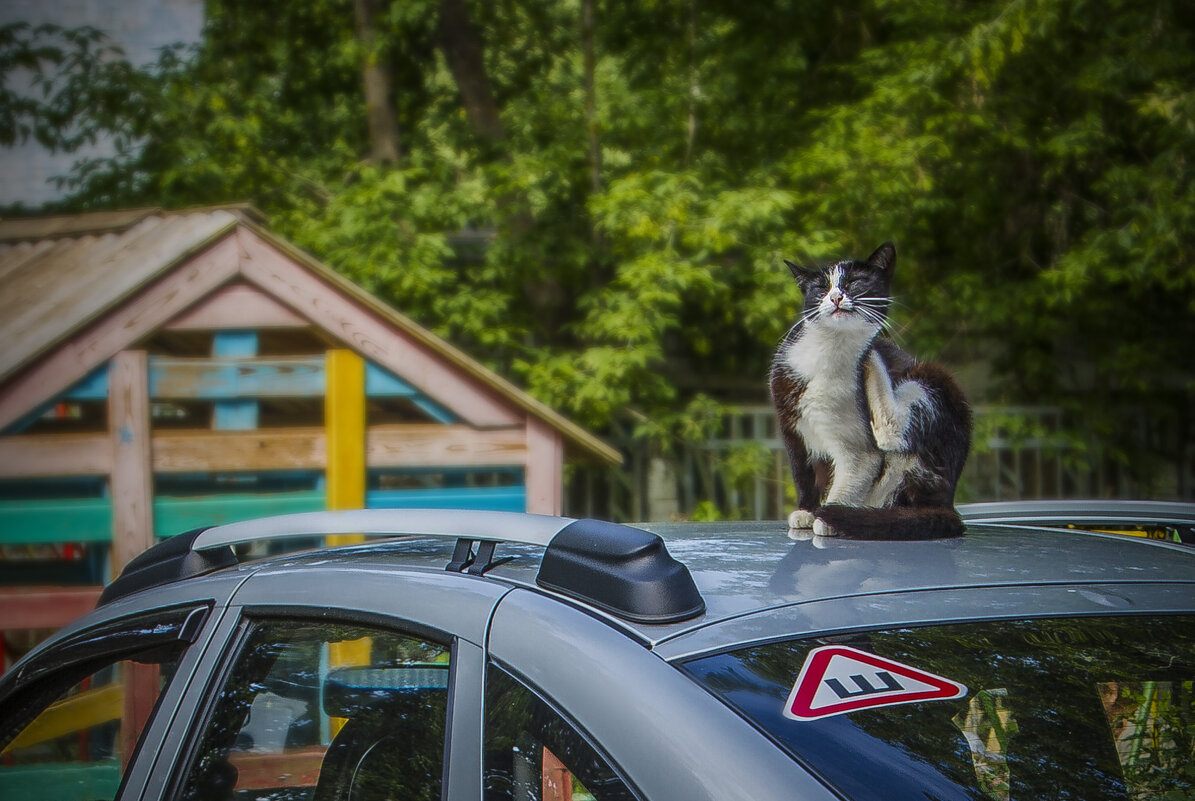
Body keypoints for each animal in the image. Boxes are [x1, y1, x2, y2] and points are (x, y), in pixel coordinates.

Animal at [769, 240, 975, 540]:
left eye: (854, 282)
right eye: (821, 287)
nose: (836, 297)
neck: (830, 349)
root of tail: (946, 503)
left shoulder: (858, 445)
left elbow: (854, 472)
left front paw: (828, 517)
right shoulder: (791, 427)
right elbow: (803, 474)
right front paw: (807, 511)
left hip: (939, 382)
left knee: (893, 431)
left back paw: (872, 357)